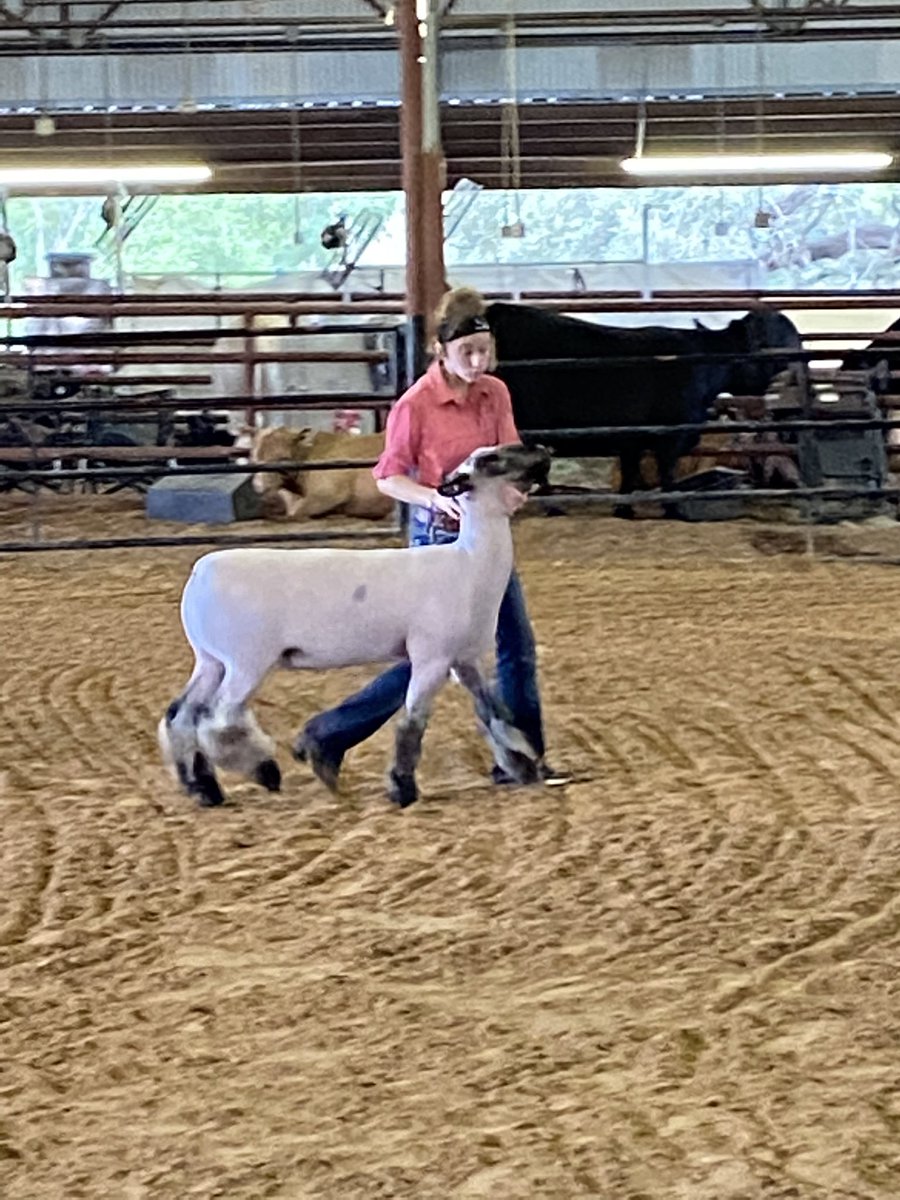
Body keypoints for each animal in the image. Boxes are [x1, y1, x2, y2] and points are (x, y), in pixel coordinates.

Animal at [158, 442, 550, 809]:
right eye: (489, 460)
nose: (544, 451)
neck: (470, 564)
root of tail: (200, 573)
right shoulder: (431, 657)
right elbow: (412, 724)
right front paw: (402, 788)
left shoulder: (464, 658)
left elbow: (494, 713)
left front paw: (521, 765)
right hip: (246, 660)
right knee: (219, 719)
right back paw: (263, 770)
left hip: (211, 660)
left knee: (181, 715)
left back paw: (204, 788)